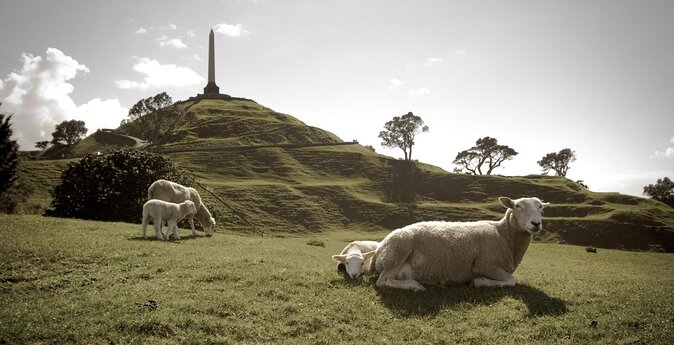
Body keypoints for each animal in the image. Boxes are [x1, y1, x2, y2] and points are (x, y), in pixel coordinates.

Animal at [372, 196, 544, 290]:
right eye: (517, 206)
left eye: (541, 207)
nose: (536, 223)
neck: (503, 235)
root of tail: (379, 248)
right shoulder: (484, 264)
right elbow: (511, 280)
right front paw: (479, 282)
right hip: (398, 250)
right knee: (383, 281)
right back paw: (414, 286)